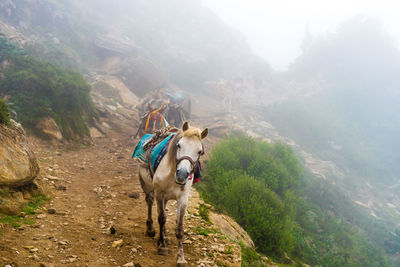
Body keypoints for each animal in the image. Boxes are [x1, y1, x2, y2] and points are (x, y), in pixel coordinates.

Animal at [138, 122, 208, 266]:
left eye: (199, 151)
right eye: (179, 145)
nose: (182, 174)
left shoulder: (182, 199)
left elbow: (179, 228)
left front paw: (180, 257)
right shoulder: (159, 194)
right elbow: (161, 219)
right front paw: (162, 246)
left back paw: (164, 236)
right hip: (145, 184)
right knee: (149, 202)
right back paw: (150, 229)